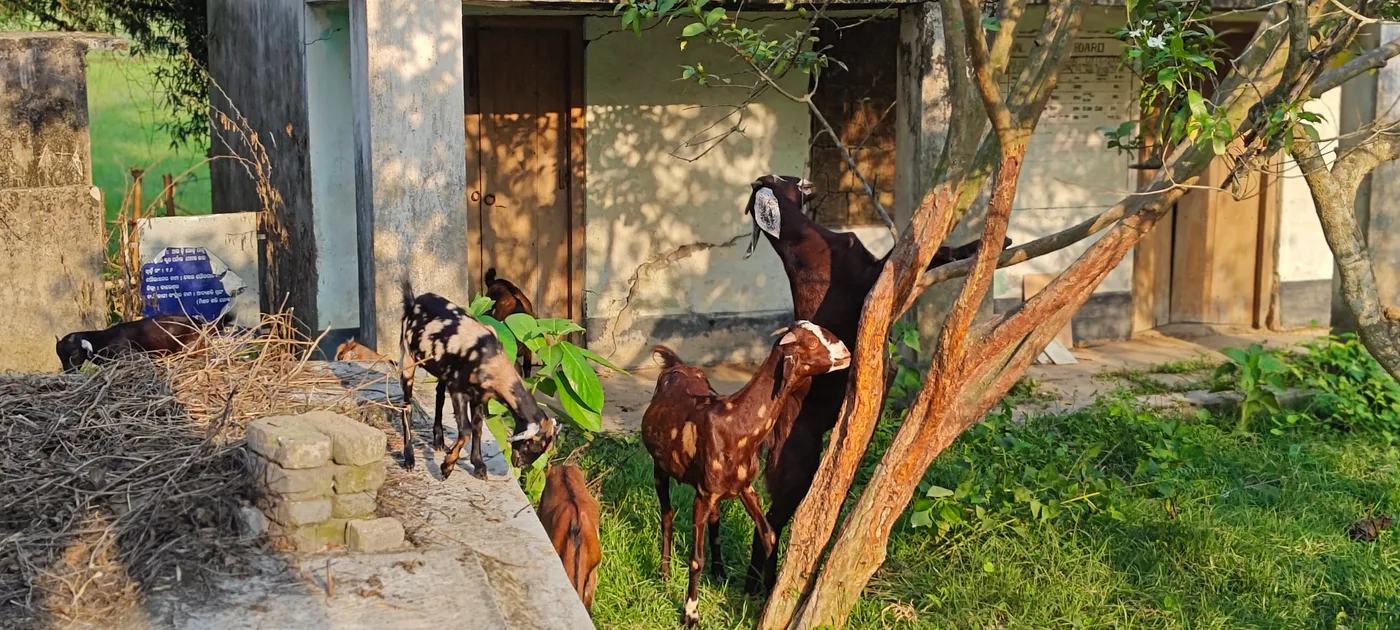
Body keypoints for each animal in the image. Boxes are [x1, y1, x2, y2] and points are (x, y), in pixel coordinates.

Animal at [398, 281, 557, 479]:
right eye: (531, 445)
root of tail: (414, 301)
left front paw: (479, 465)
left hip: (441, 371)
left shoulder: (479, 396)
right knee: (407, 407)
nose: (518, 464)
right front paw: (447, 466)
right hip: (408, 360)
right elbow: (466, 430)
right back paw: (409, 458)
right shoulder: (458, 390)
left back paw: (439, 440)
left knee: (439, 397)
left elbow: (478, 426)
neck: (490, 359)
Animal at [643, 321, 851, 627]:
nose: (846, 351)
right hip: (661, 468)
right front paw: (690, 614)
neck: (735, 423)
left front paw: (769, 594)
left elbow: (769, 535)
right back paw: (664, 572)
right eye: (811, 343)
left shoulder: (745, 488)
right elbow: (695, 559)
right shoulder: (703, 495)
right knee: (667, 514)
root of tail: (677, 365)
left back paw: (719, 572)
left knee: (715, 519)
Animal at [738, 174, 1009, 593]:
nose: (805, 179)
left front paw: (998, 242)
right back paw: (759, 585)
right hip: (797, 462)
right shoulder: (872, 275)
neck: (806, 238)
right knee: (774, 520)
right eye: (781, 180)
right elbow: (923, 255)